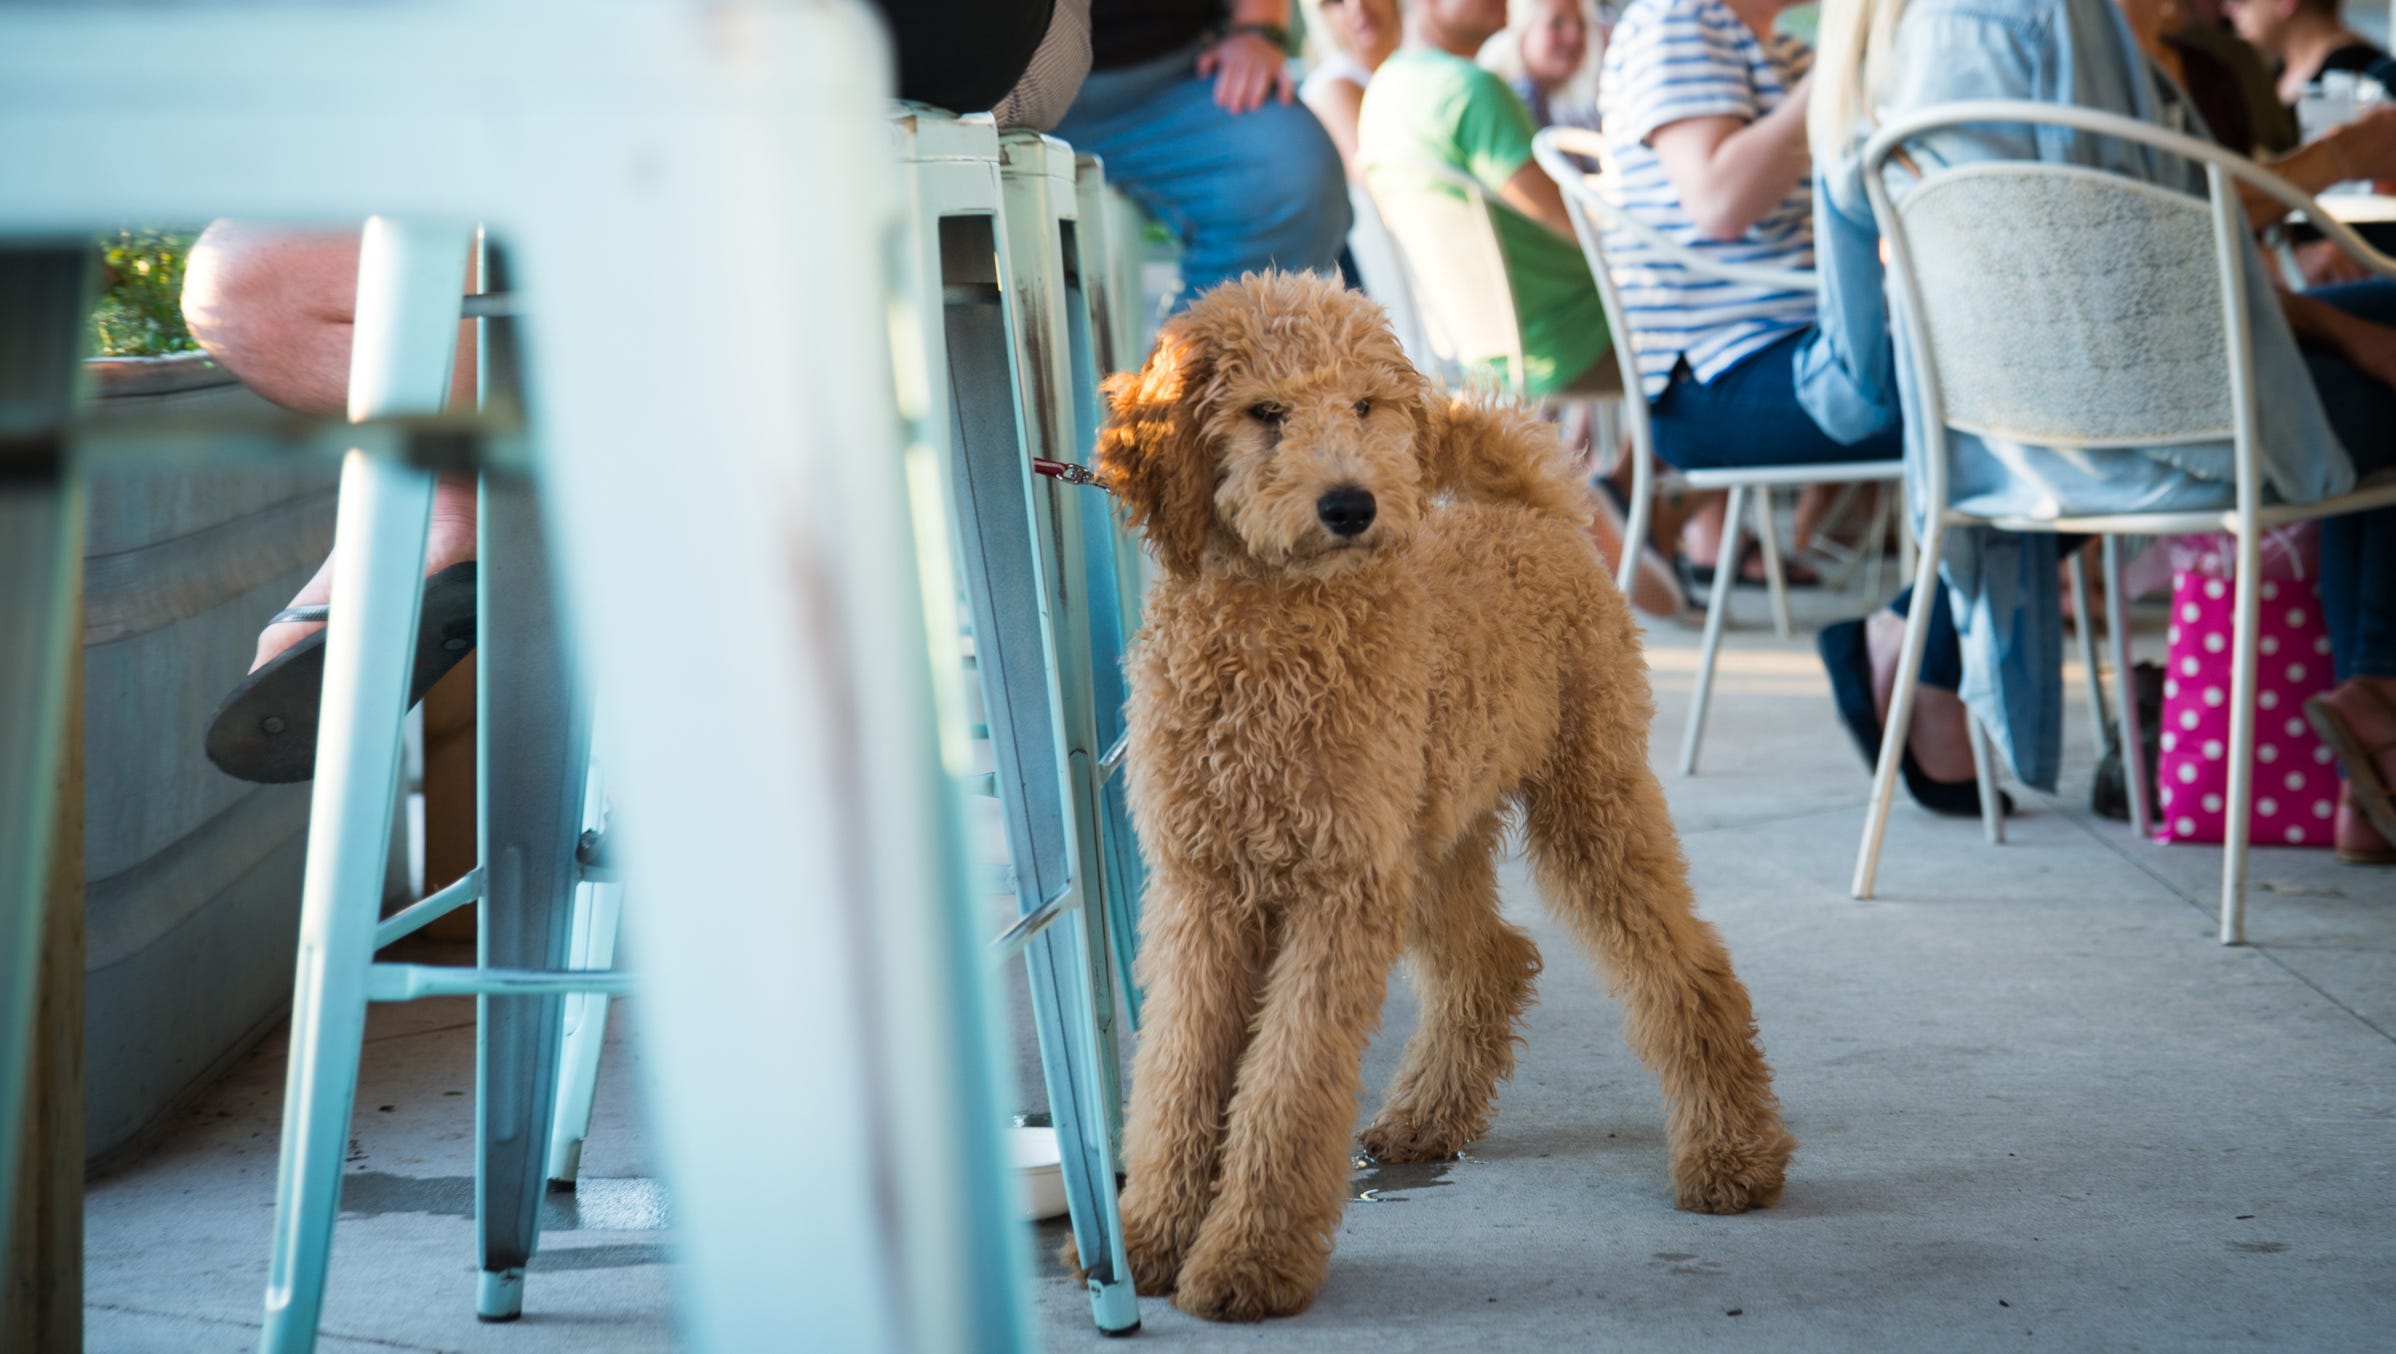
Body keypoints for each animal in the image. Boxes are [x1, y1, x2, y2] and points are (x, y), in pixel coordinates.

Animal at [1073, 271, 1801, 1322]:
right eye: (1265, 412)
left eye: (1364, 405)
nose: (1351, 504)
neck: (1273, 637)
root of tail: (1534, 512)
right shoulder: (1205, 891)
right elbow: (1178, 1075)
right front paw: (1150, 1242)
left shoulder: (1337, 892)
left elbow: (1286, 1085)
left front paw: (1250, 1261)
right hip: (1432, 838)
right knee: (1491, 961)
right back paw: (1426, 1117)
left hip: (1587, 801)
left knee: (1684, 967)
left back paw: (1733, 1156)